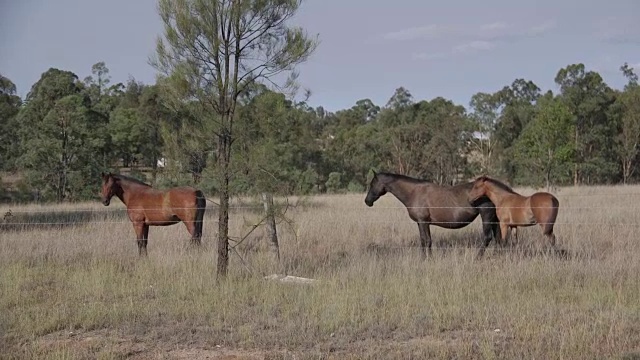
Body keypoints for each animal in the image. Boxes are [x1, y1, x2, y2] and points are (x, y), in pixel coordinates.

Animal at [364, 172, 500, 258]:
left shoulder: (423, 222)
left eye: (372, 184)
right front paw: (424, 258)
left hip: (486, 216)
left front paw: (428, 259)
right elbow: (424, 240)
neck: (414, 192)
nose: (367, 201)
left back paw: (478, 257)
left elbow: (427, 240)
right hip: (494, 219)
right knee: (498, 238)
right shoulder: (421, 223)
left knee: (488, 237)